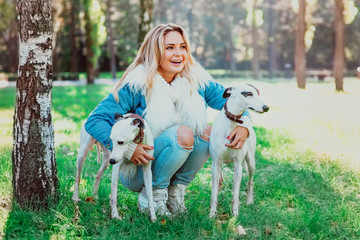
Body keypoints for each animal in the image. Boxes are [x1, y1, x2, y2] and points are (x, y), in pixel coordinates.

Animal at [208, 84, 270, 218]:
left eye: (258, 93)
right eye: (248, 93)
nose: (266, 107)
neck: (232, 123)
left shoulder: (238, 166)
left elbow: (236, 193)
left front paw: (235, 214)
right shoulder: (216, 164)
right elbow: (214, 192)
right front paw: (212, 214)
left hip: (250, 162)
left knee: (250, 181)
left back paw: (249, 201)